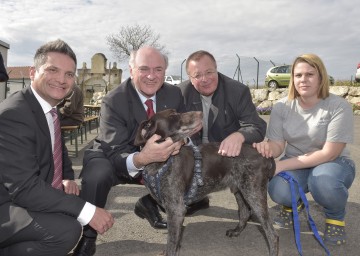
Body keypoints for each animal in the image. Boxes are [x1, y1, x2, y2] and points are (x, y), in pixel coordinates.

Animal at [134, 109, 278, 255]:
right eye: (173, 115)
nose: (200, 113)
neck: (161, 163)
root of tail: (265, 155)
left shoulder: (176, 210)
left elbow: (172, 243)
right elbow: (174, 242)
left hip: (253, 193)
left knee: (272, 234)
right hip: (240, 189)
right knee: (244, 212)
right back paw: (236, 231)